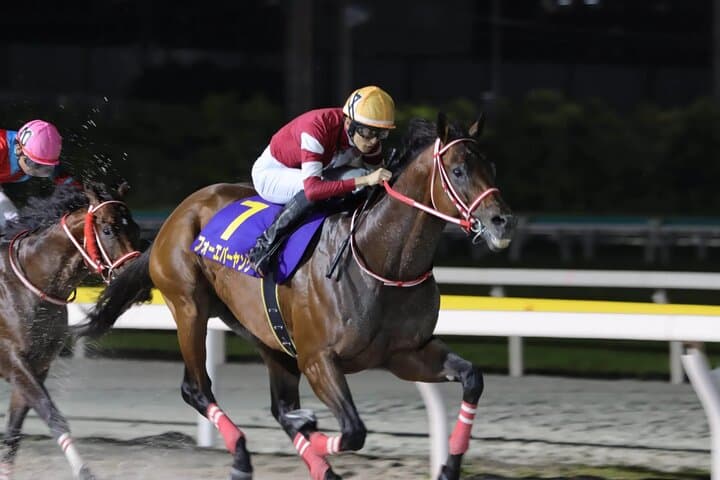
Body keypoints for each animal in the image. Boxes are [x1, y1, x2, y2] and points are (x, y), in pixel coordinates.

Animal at [0, 182, 142, 480]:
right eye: (109, 230)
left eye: (134, 228)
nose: (133, 277)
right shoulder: (13, 361)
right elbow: (53, 415)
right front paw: (84, 471)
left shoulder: (37, 366)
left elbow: (14, 431)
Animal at [73, 113, 515, 480]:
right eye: (458, 170)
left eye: (492, 167)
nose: (502, 221)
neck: (382, 261)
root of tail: (177, 215)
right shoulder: (319, 359)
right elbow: (353, 431)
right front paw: (313, 427)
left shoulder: (406, 353)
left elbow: (472, 379)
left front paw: (449, 467)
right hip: (189, 305)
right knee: (196, 388)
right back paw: (243, 457)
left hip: (265, 332)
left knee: (279, 405)